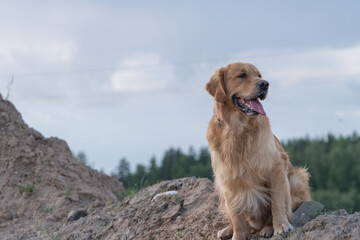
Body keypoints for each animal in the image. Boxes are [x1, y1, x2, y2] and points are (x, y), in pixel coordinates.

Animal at [207, 62, 310, 240]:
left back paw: (267, 228)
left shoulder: (276, 168)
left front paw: (281, 226)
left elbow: (277, 203)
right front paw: (237, 235)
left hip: (297, 178)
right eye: (241, 75)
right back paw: (227, 230)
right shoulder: (226, 179)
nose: (265, 84)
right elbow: (235, 215)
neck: (238, 129)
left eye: (259, 75)